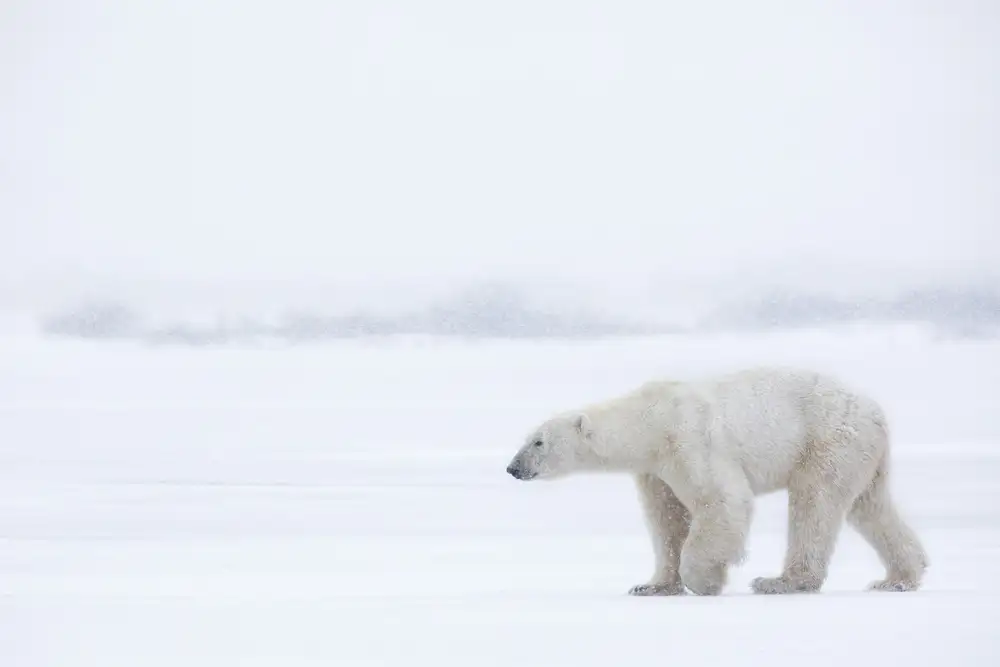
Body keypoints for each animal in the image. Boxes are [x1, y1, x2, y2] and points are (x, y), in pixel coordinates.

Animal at [505, 365, 928, 596]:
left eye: (538, 441)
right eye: (526, 438)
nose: (513, 467)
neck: (648, 420)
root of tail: (877, 413)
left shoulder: (688, 440)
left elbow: (723, 500)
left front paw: (707, 579)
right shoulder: (655, 468)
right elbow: (667, 520)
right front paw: (651, 586)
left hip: (826, 440)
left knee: (814, 503)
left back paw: (780, 580)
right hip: (860, 453)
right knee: (870, 507)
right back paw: (899, 577)